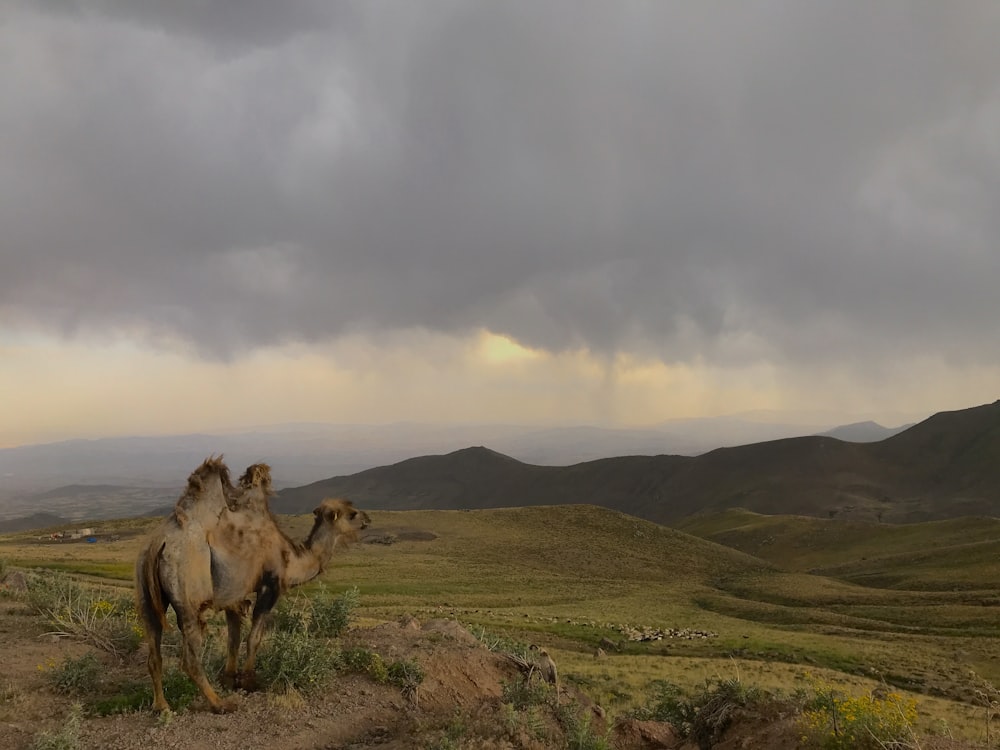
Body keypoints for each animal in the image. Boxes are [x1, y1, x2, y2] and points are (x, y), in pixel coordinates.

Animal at [136, 456, 372, 712]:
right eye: (352, 514)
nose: (368, 519)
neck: (291, 558)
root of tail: (159, 544)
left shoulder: (234, 595)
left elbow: (234, 638)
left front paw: (230, 679)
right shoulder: (270, 587)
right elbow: (253, 638)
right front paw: (249, 681)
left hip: (146, 593)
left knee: (154, 652)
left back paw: (161, 706)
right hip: (188, 594)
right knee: (190, 659)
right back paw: (220, 703)